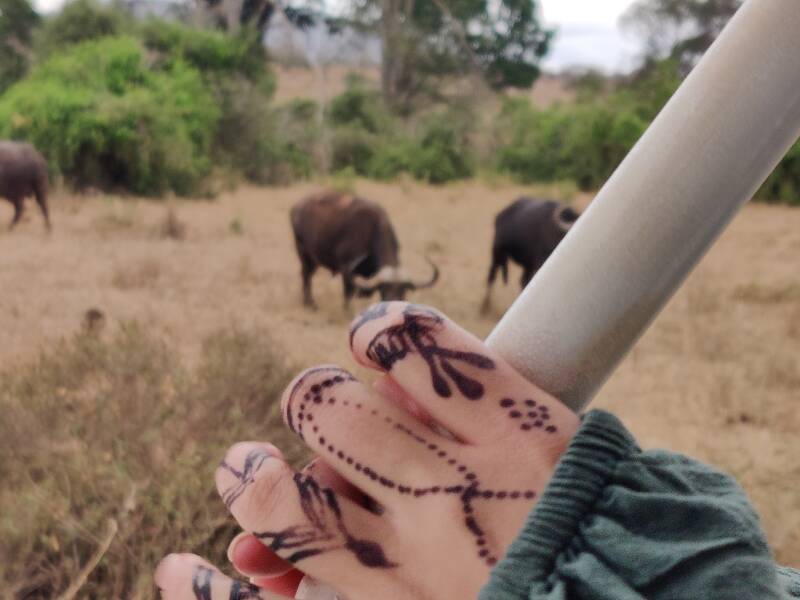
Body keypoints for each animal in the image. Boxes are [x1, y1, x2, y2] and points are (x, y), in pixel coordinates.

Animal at [290, 191, 439, 309]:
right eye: (383, 290)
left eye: (403, 292)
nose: (392, 304)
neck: (373, 230)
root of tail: (296, 207)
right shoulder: (346, 268)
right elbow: (348, 292)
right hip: (303, 253)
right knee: (306, 275)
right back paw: (309, 304)